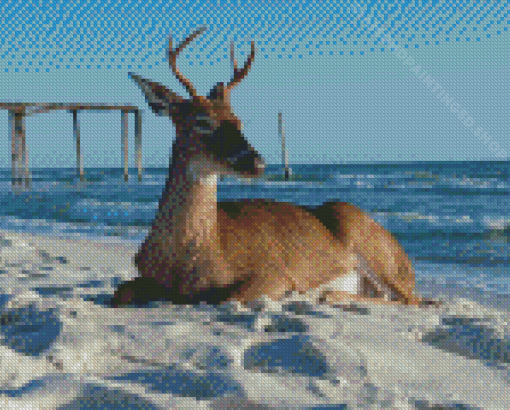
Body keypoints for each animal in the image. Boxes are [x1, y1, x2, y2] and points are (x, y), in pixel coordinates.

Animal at [110, 28, 438, 308]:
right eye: (202, 121)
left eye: (238, 121)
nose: (258, 162)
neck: (189, 258)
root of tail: (407, 261)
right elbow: (120, 291)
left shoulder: (274, 271)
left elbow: (229, 296)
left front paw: (295, 293)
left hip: (371, 246)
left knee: (412, 299)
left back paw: (326, 294)